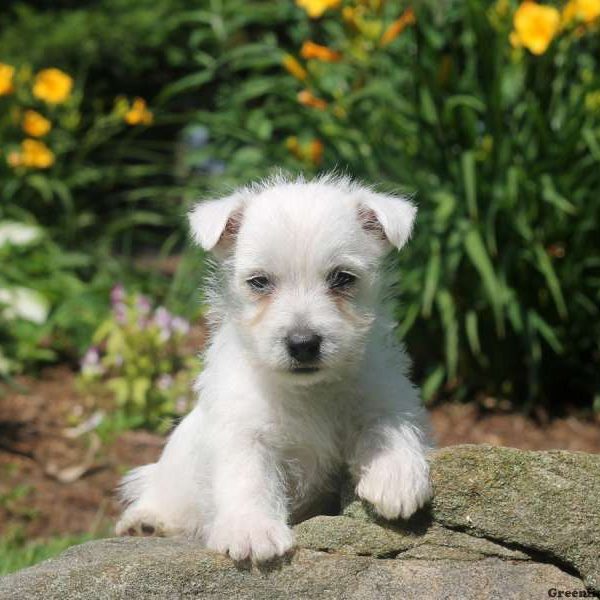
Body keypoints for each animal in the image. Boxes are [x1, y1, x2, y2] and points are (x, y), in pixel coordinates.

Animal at [116, 173, 432, 564]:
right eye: (259, 282)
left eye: (342, 278)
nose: (303, 343)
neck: (309, 392)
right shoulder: (243, 429)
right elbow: (248, 477)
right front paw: (252, 530)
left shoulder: (385, 393)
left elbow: (387, 425)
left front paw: (395, 475)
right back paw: (145, 522)